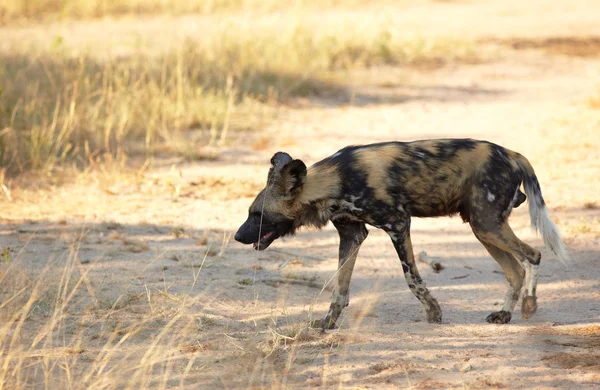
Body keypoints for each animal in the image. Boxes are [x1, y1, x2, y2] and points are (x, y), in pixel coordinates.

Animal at [234, 139, 572, 328]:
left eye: (257, 215)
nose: (237, 237)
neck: (335, 182)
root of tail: (513, 154)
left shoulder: (398, 224)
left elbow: (412, 278)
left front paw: (434, 313)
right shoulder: (352, 235)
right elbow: (339, 289)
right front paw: (328, 322)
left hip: (487, 225)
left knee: (533, 255)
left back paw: (529, 305)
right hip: (483, 228)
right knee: (515, 270)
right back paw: (504, 314)